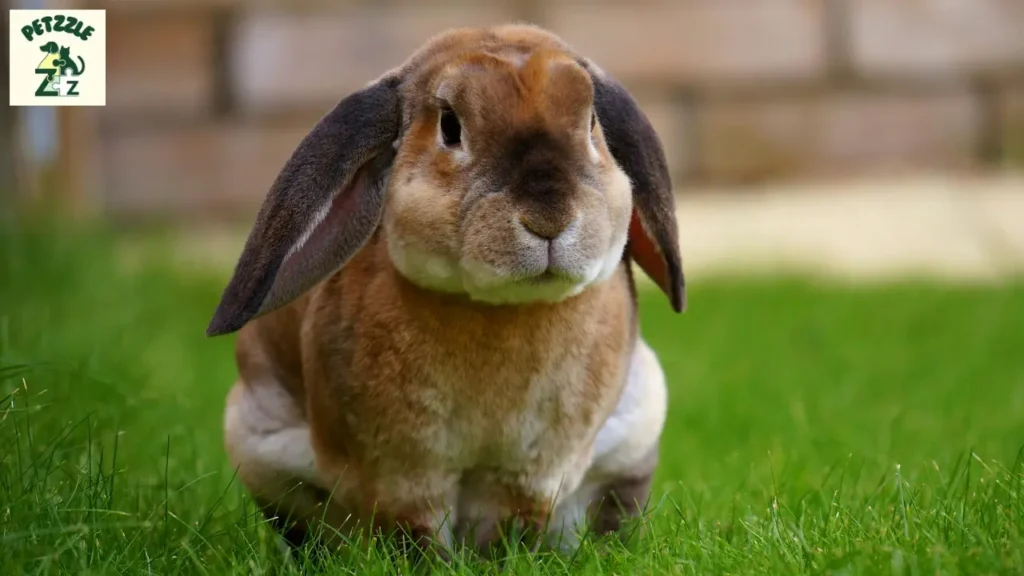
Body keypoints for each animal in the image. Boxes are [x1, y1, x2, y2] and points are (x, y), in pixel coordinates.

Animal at [207, 23, 685, 558]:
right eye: (450, 127)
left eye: (591, 125)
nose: (549, 218)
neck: (501, 310)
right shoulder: (402, 474)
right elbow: (413, 532)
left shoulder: (530, 474)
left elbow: (513, 525)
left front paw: (503, 560)